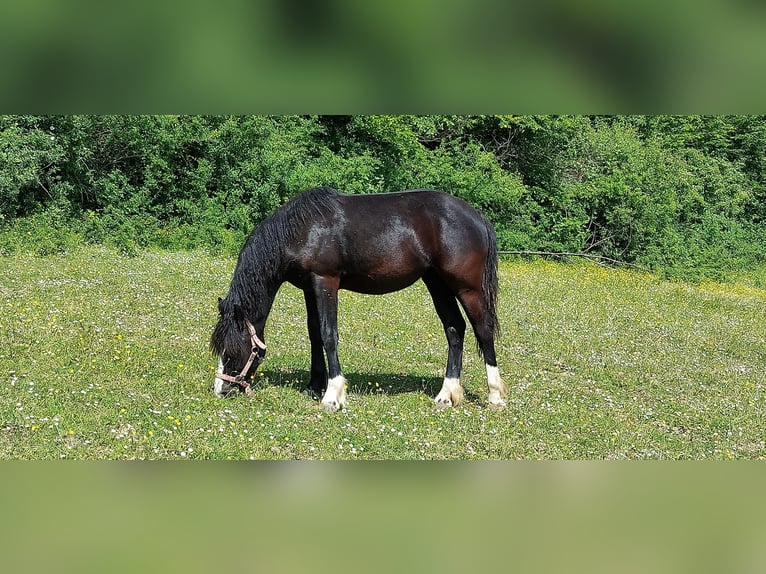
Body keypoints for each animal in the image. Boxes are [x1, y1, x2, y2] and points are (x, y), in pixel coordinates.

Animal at [212, 189, 510, 414]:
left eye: (232, 350)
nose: (221, 389)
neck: (302, 229)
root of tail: (476, 216)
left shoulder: (325, 281)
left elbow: (328, 334)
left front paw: (332, 395)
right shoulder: (310, 287)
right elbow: (314, 334)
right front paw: (315, 384)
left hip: (467, 287)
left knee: (483, 331)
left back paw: (495, 396)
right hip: (437, 283)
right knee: (454, 328)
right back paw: (446, 395)